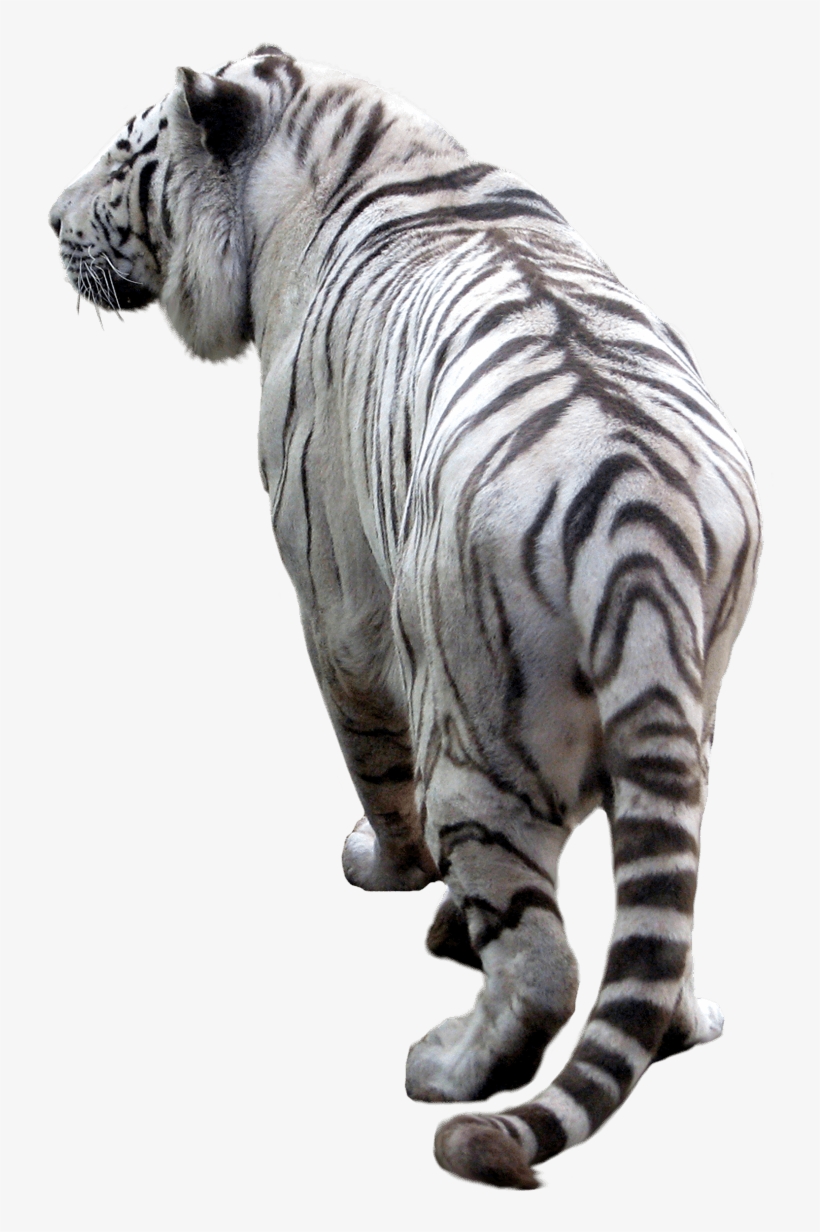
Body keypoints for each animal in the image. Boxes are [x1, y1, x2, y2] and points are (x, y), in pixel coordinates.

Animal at [50, 45, 760, 1189]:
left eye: (121, 162)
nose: (44, 219)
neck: (349, 147)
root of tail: (638, 520)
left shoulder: (334, 599)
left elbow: (374, 768)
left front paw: (387, 871)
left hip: (476, 737)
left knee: (544, 962)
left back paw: (450, 1065)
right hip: (691, 712)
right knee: (664, 913)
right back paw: (683, 1019)